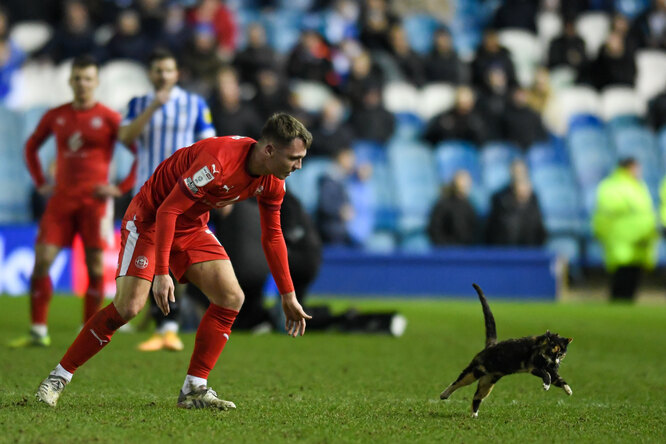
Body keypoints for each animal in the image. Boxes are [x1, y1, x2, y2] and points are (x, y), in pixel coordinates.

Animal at [440, 284, 572, 416]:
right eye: (551, 352)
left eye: (560, 354)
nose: (555, 362)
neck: (545, 358)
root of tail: (491, 345)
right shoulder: (534, 367)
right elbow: (546, 375)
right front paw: (546, 385)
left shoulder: (552, 370)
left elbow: (558, 378)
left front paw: (568, 390)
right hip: (476, 371)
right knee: (458, 382)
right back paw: (444, 395)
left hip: (488, 382)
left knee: (477, 397)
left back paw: (474, 415)